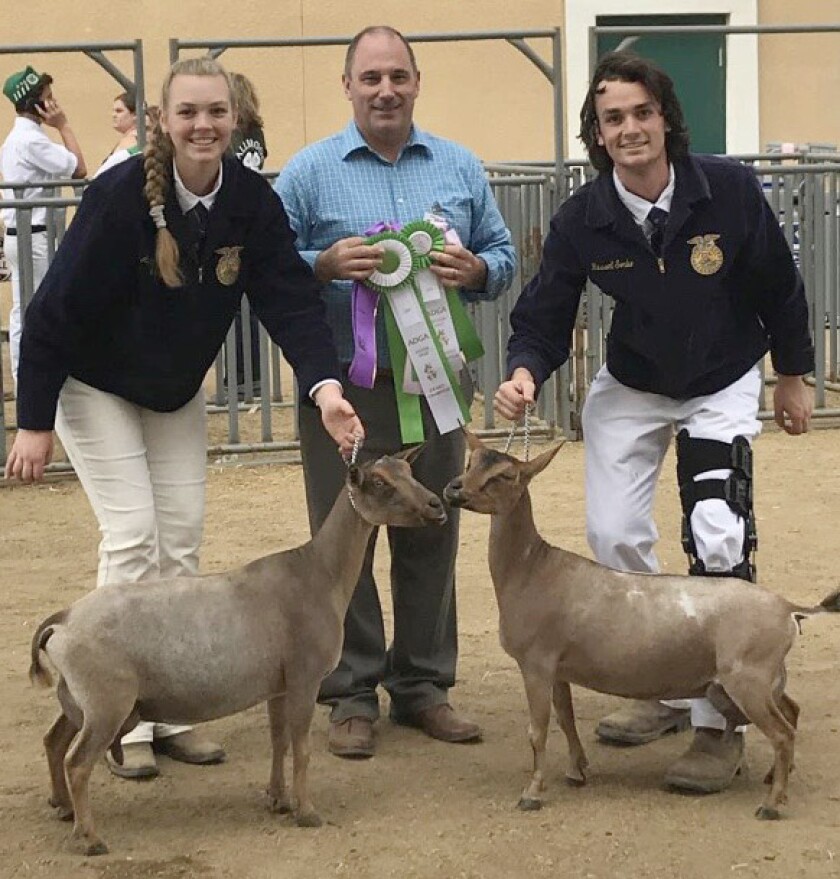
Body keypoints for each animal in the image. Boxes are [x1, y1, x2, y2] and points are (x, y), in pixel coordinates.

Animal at [29, 450, 446, 856]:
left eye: (408, 470)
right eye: (380, 482)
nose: (436, 504)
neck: (318, 574)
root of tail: (63, 621)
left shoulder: (278, 685)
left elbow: (279, 740)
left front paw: (278, 799)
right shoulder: (305, 677)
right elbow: (302, 748)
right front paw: (307, 812)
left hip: (79, 697)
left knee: (53, 740)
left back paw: (63, 807)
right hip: (107, 702)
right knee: (78, 763)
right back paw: (90, 838)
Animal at [442, 430, 836, 820]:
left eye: (506, 475)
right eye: (471, 461)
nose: (455, 489)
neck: (531, 569)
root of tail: (788, 609)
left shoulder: (536, 661)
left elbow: (537, 730)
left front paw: (532, 793)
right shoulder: (558, 667)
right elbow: (566, 719)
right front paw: (577, 770)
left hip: (747, 677)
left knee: (782, 732)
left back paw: (771, 804)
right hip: (768, 676)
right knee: (792, 711)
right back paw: (774, 778)